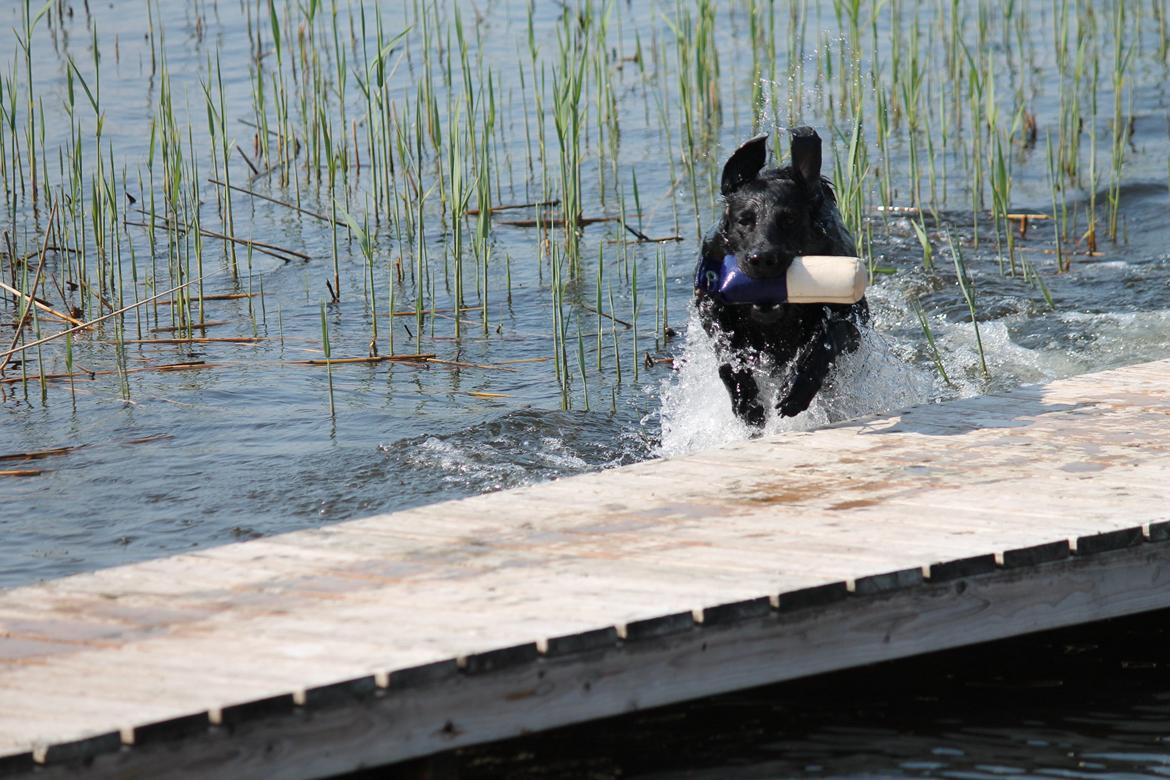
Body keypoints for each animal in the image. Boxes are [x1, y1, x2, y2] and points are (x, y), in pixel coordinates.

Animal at [692, 129, 870, 432]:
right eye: (744, 220)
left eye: (789, 220)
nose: (762, 259)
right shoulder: (710, 304)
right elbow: (727, 354)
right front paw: (746, 399)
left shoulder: (855, 317)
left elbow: (833, 333)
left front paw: (797, 387)